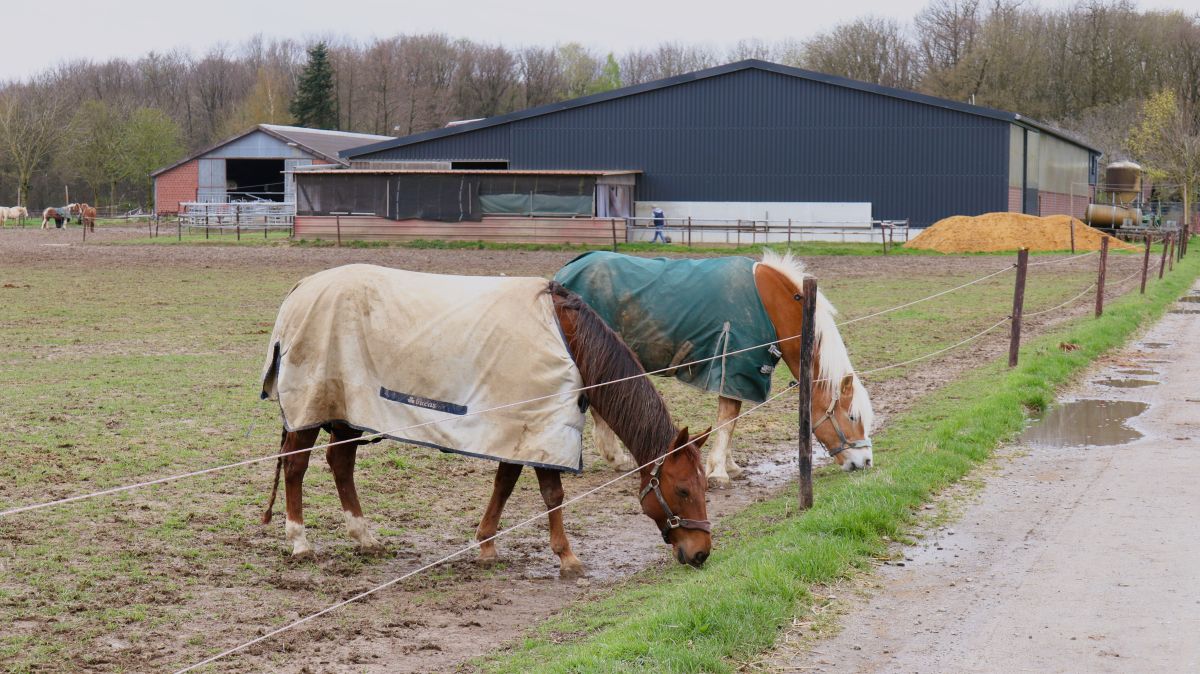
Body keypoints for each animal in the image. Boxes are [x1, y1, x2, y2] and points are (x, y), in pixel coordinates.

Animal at [260, 265, 710, 575]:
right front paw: (567, 557)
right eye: (683, 490)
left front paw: (487, 546)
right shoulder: (542, 426)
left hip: (348, 410)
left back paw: (364, 537)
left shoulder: (518, 426)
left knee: (341, 463)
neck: (568, 338)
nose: (702, 551)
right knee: (296, 466)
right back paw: (300, 541)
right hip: (310, 410)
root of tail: (301, 289)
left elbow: (504, 484)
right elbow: (552, 494)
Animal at [552, 249, 873, 484]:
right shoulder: (735, 367)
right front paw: (718, 471)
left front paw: (729, 466)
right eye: (852, 416)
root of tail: (564, 272)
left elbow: (731, 420)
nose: (865, 461)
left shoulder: (740, 375)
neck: (770, 305)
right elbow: (727, 419)